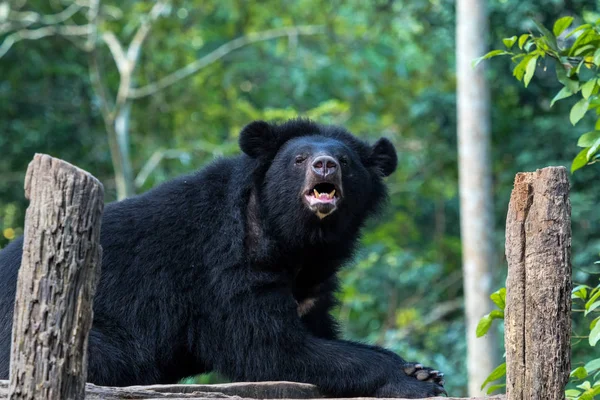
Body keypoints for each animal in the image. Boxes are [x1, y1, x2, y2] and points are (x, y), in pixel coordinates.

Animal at [0, 118, 446, 396]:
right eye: (298, 159)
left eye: (347, 163)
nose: (325, 165)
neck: (297, 240)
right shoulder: (226, 266)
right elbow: (268, 345)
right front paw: (416, 380)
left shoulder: (314, 283)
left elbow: (314, 331)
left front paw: (420, 369)